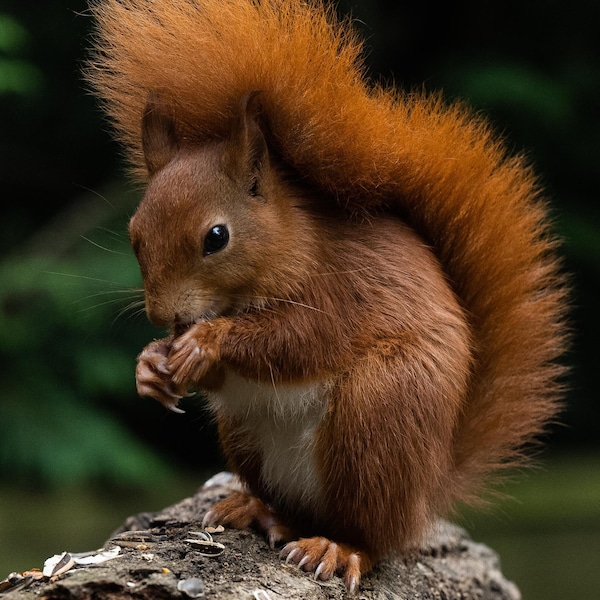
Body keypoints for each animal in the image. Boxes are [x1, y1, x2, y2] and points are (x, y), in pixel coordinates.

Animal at [88, 0, 568, 592]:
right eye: (134, 234)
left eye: (216, 237)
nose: (164, 315)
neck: (291, 244)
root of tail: (428, 486)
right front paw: (151, 365)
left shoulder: (342, 290)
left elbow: (301, 340)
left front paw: (207, 342)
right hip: (247, 434)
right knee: (293, 508)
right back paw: (256, 509)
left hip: (377, 415)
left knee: (374, 535)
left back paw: (338, 548)